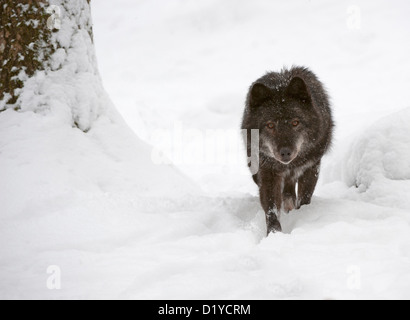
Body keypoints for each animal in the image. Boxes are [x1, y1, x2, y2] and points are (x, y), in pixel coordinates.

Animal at [243, 66, 334, 235]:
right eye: (270, 125)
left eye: (295, 122)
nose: (285, 152)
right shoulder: (268, 172)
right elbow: (271, 207)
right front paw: (274, 233)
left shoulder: (311, 167)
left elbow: (305, 198)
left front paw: (301, 215)